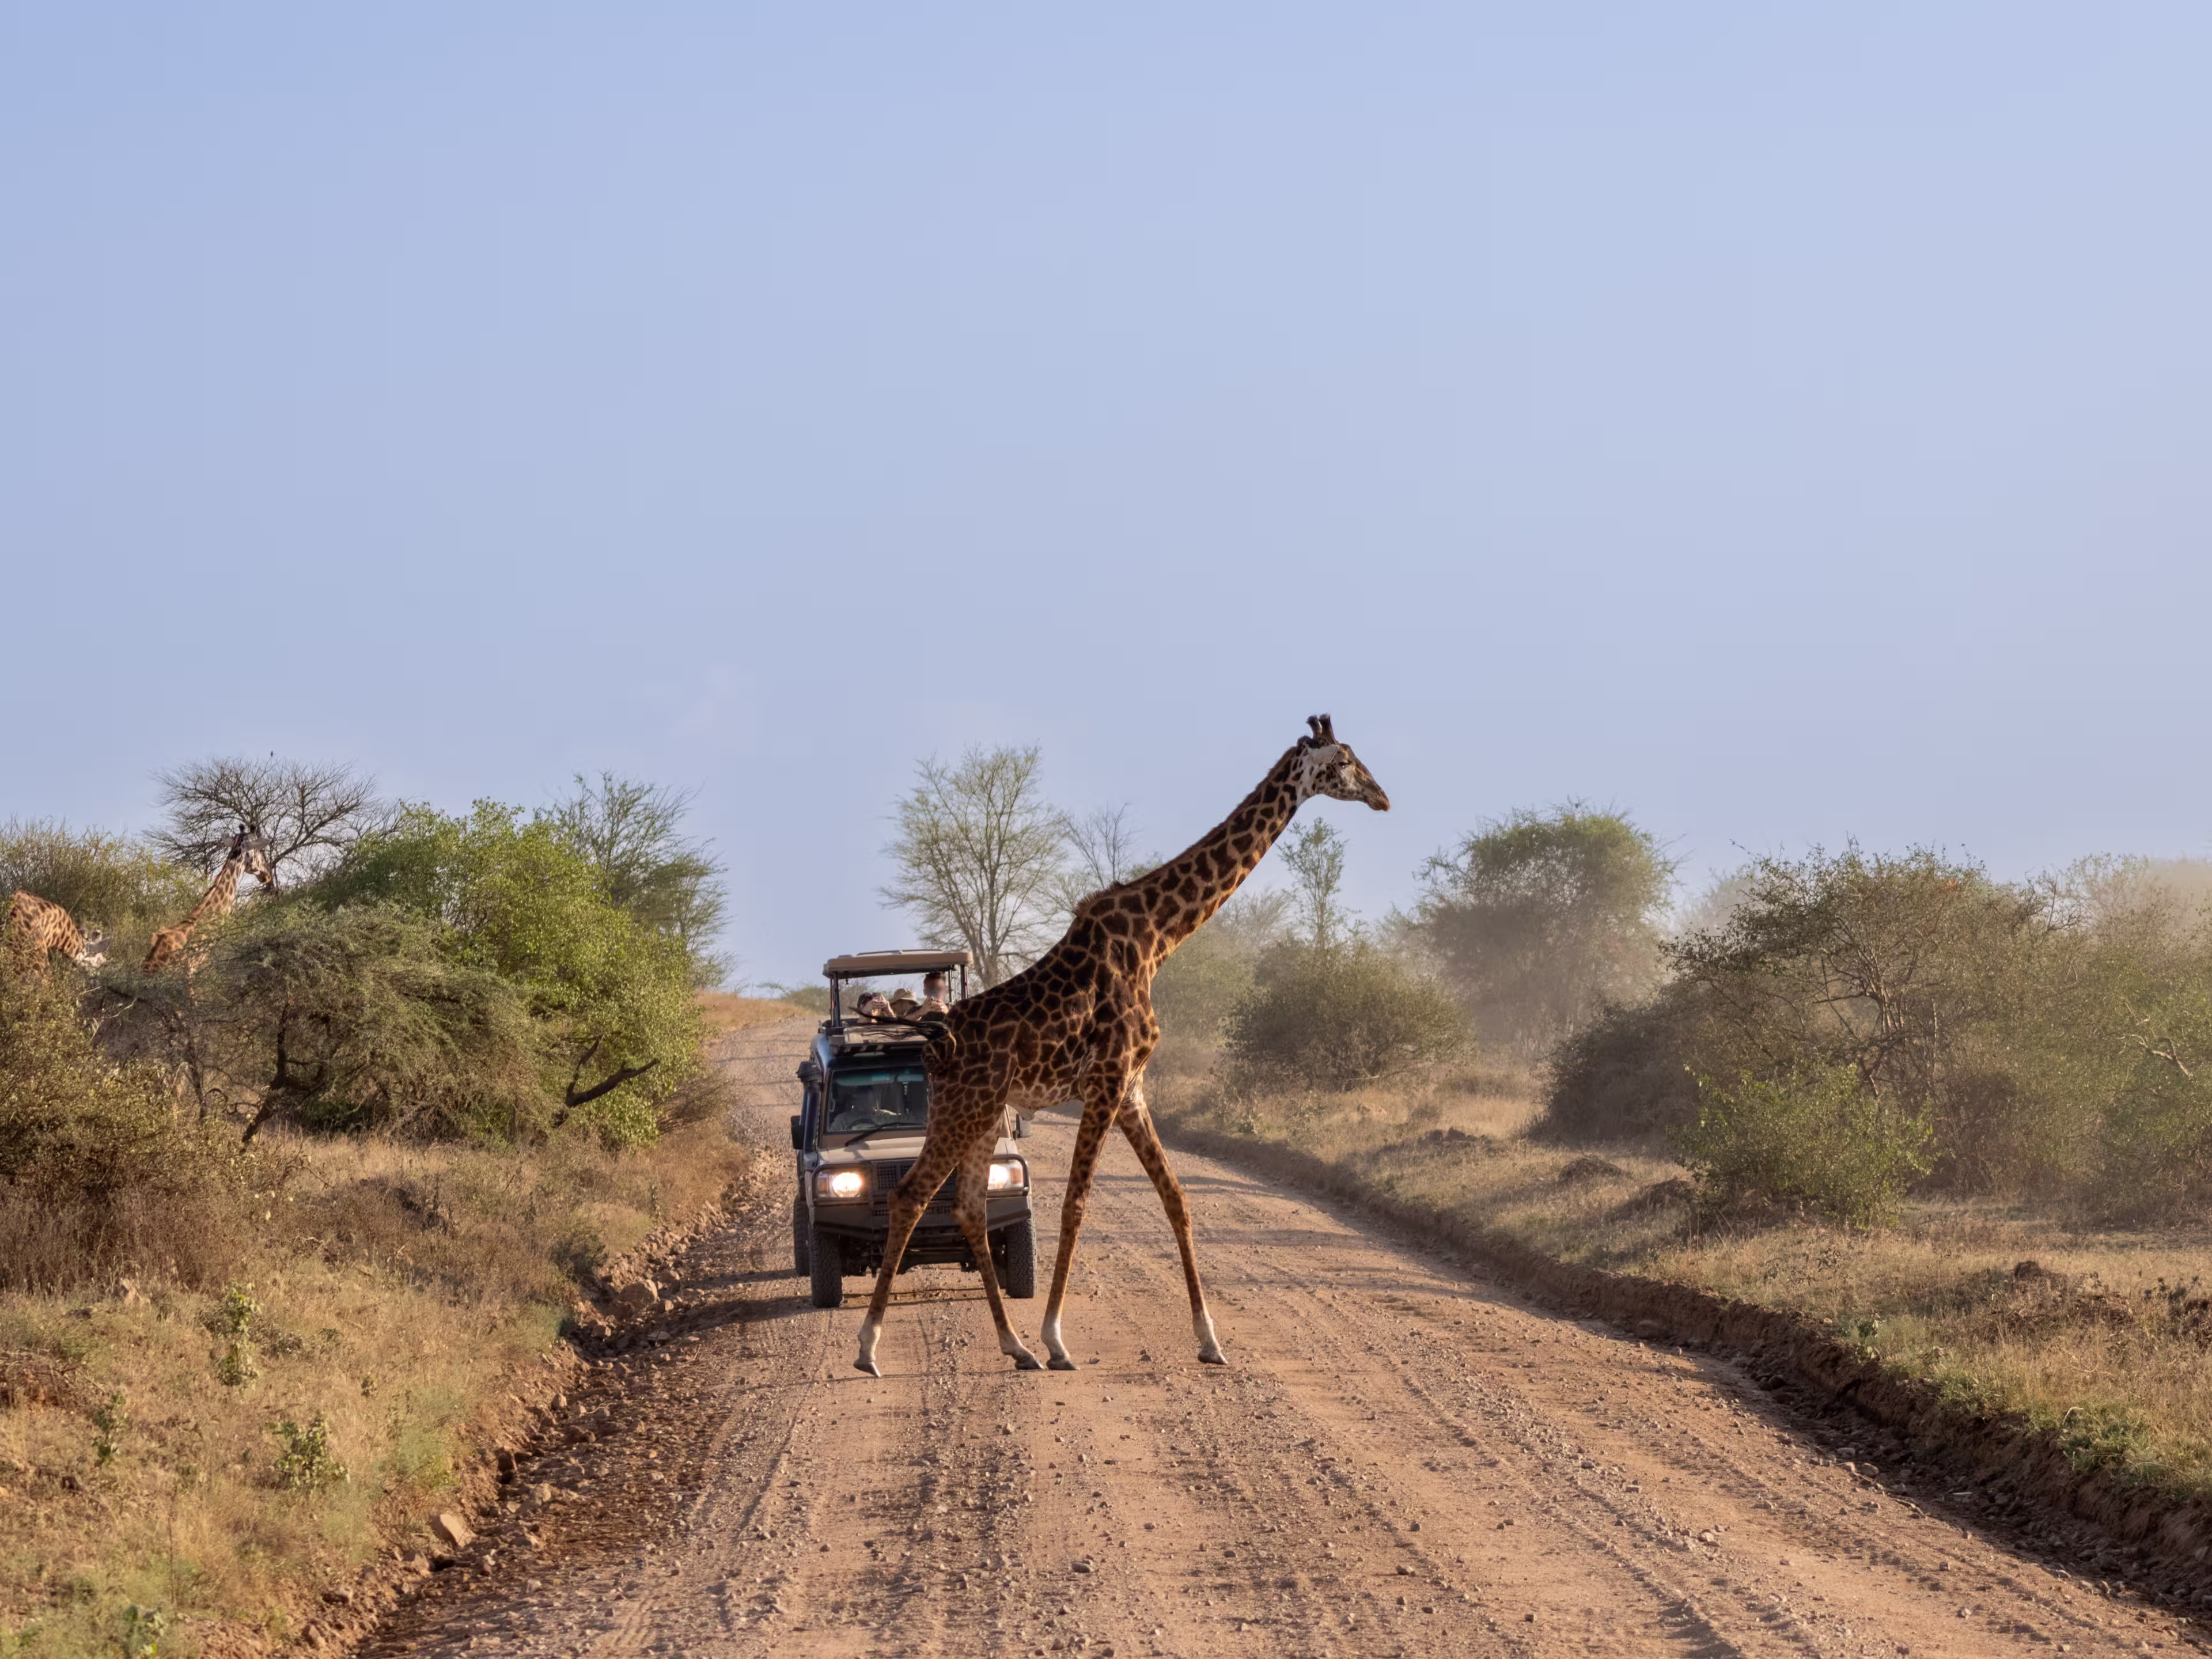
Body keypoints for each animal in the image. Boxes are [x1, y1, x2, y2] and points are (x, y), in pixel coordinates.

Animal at [854, 714, 1390, 1378]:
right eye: (1343, 761)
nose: (1382, 797)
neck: (1158, 937)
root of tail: (934, 1044)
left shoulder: (1132, 1086)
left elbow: (1177, 1199)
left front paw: (1210, 1340)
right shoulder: (1106, 1078)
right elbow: (1075, 1204)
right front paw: (1059, 1340)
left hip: (984, 1113)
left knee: (969, 1209)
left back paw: (1015, 1347)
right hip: (964, 1108)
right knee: (910, 1196)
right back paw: (870, 1348)